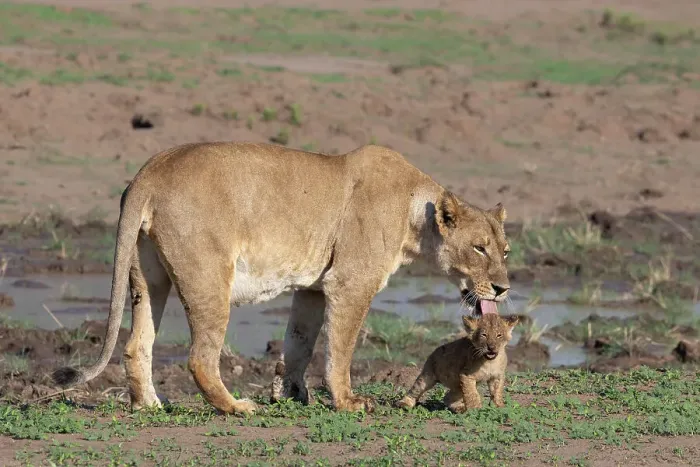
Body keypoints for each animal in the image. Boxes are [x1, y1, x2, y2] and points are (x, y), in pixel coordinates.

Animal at [51, 142, 511, 415]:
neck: (417, 215)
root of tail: (151, 169)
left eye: (504, 251)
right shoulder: (350, 284)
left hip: (148, 278)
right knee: (200, 357)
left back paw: (149, 405)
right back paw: (236, 408)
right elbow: (339, 350)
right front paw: (346, 402)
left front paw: (290, 393)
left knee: (136, 345)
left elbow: (300, 343)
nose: (503, 288)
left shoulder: (312, 288)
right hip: (209, 278)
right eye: (479, 248)